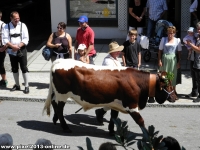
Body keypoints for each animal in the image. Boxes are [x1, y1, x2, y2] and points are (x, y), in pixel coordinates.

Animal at [43, 58, 177, 132]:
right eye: (168, 86)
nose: (175, 97)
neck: (137, 81)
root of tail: (60, 60)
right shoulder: (132, 106)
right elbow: (141, 122)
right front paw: (146, 136)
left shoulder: (115, 103)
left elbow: (114, 117)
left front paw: (111, 131)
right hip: (62, 95)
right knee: (59, 108)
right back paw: (65, 127)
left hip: (58, 94)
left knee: (54, 104)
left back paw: (55, 120)